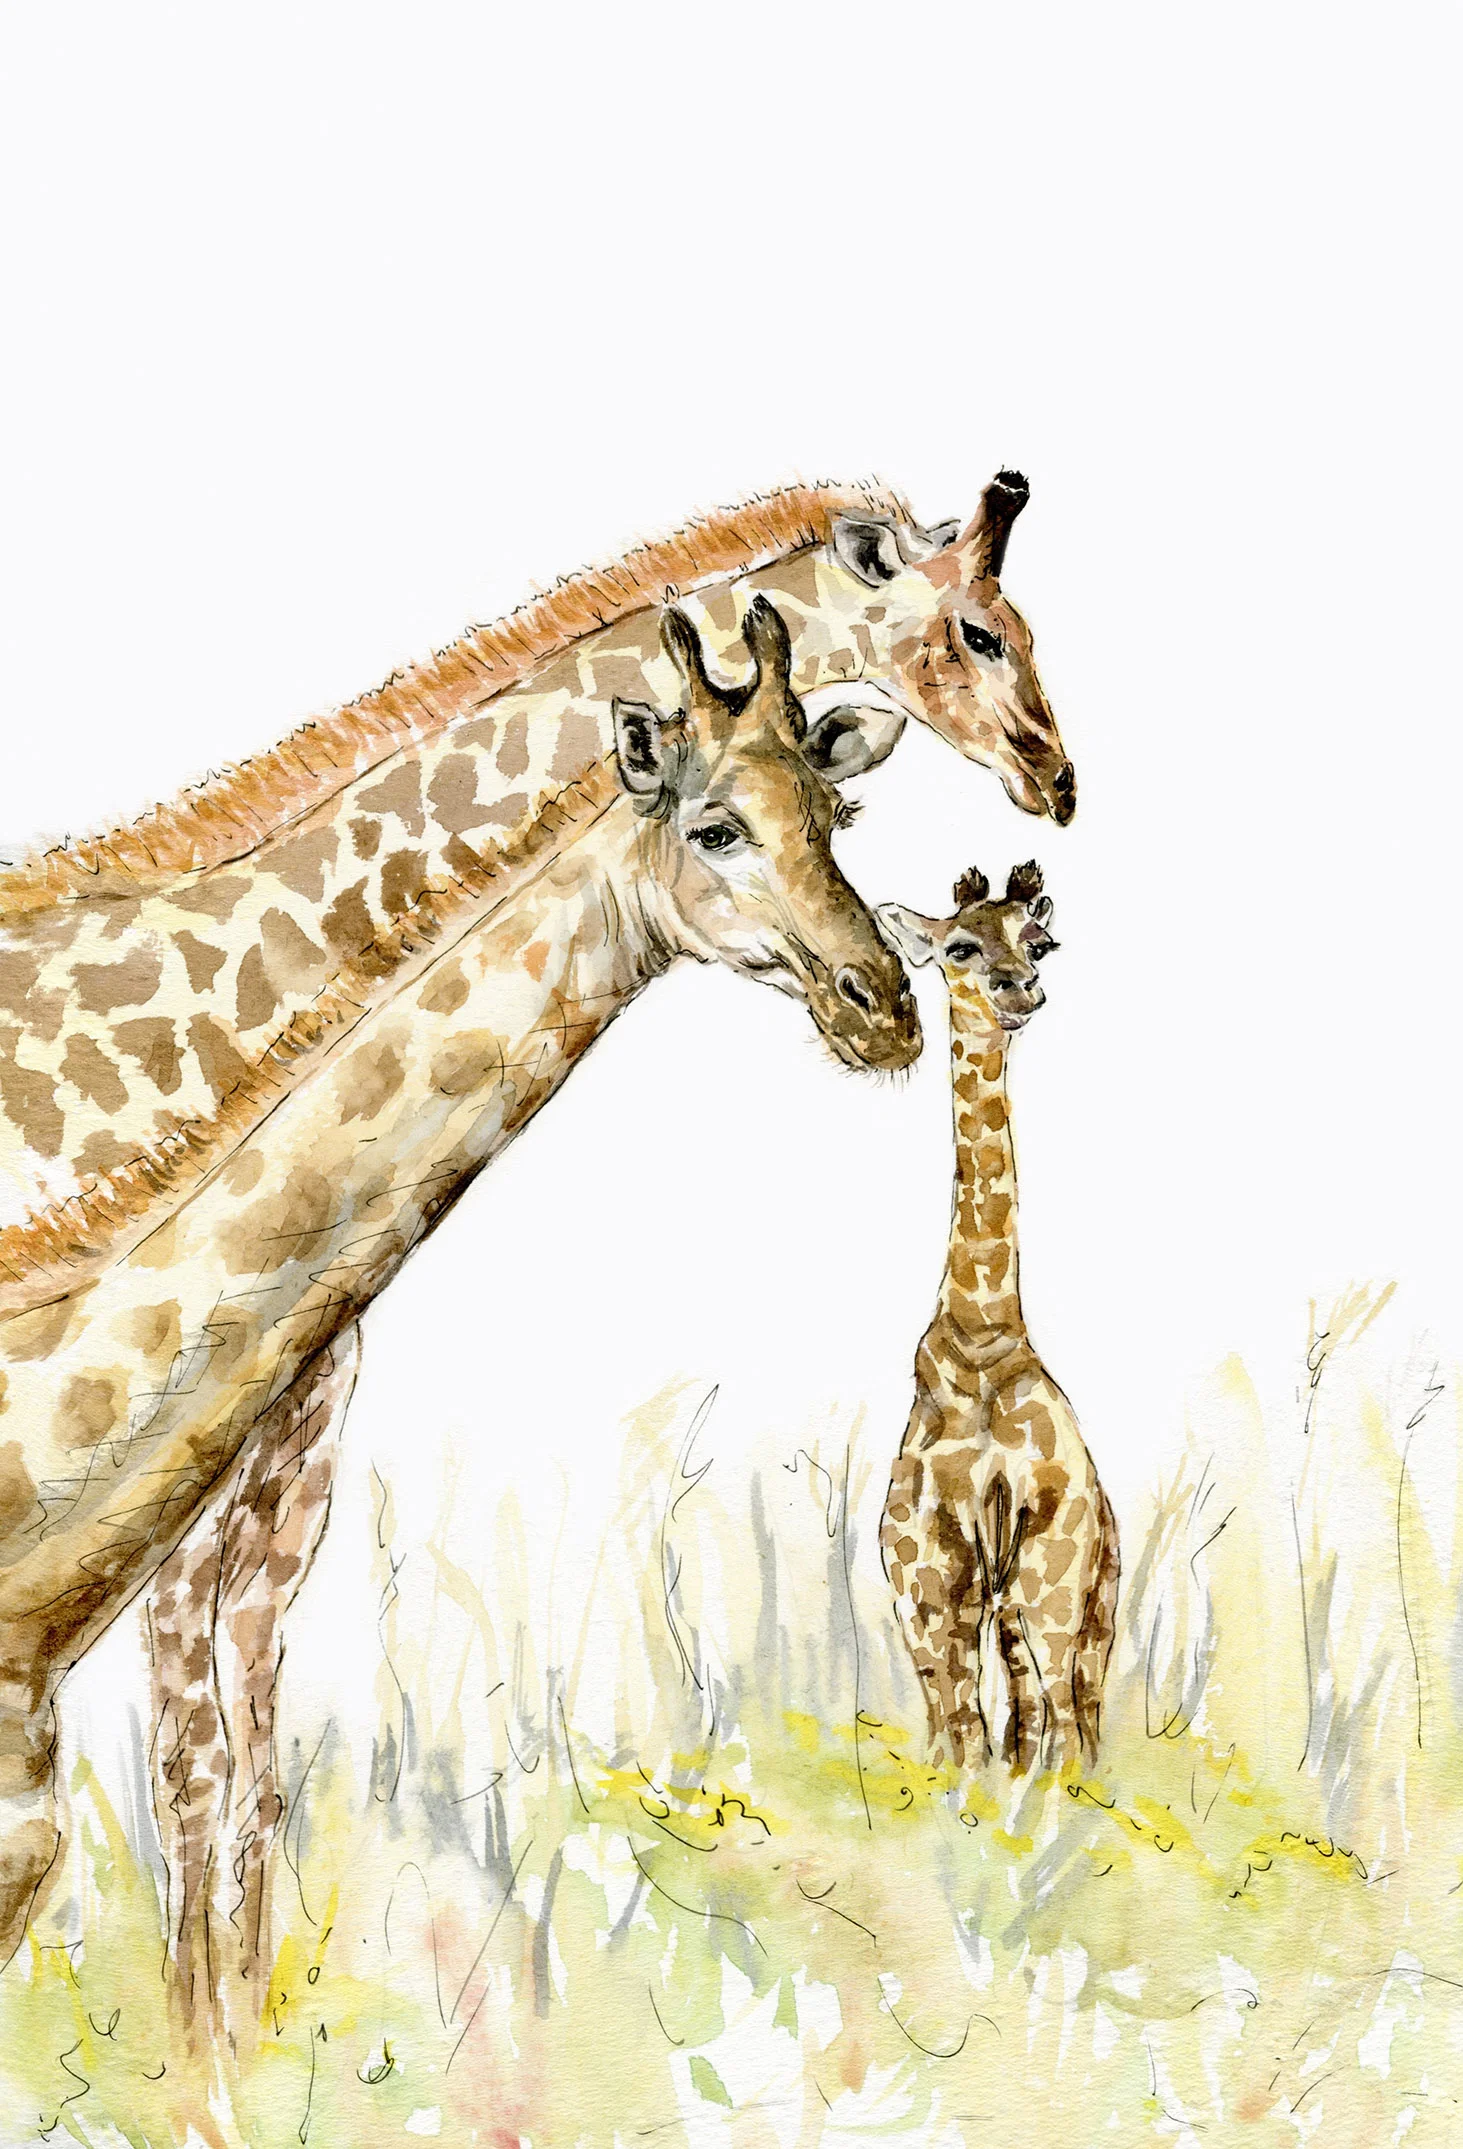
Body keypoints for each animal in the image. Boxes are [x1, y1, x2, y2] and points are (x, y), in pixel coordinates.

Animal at [0, 473, 1069, 2009]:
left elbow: (230, 1764)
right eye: (980, 629)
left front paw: (234, 2043)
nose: (1058, 778)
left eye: (842, 805)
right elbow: (197, 1762)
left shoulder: (262, 1433)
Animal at [877, 865, 1118, 1774]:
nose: (1019, 991)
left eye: (1040, 942)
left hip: (1088, 1595)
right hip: (1017, 1605)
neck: (980, 1339)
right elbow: (959, 1741)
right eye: (957, 946)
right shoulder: (926, 1581)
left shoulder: (1048, 1560)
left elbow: (1041, 1738)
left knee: (1075, 1717)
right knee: (1025, 1719)